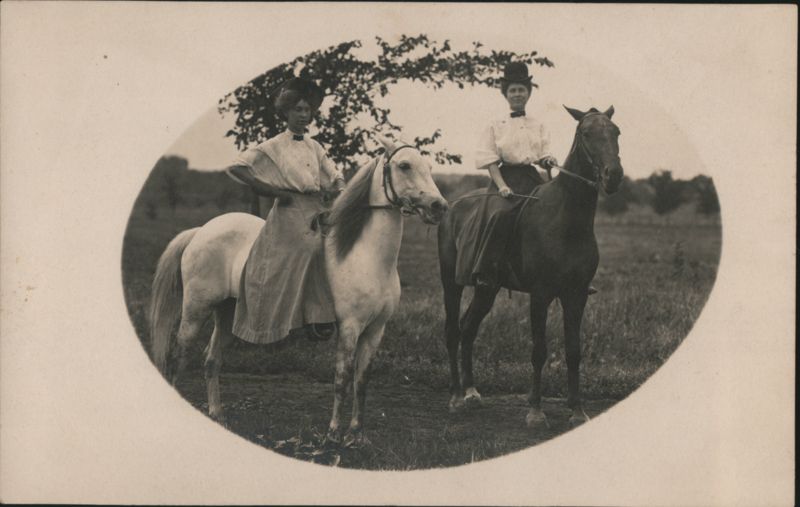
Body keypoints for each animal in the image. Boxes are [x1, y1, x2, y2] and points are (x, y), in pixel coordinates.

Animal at [148, 136, 448, 444]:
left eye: (428, 167)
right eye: (404, 165)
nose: (439, 206)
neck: (367, 256)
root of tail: (201, 230)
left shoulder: (376, 329)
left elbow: (362, 381)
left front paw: (356, 434)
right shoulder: (350, 327)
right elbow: (342, 378)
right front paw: (333, 434)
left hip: (229, 312)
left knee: (211, 360)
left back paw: (217, 414)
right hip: (196, 309)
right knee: (180, 355)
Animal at [437, 106, 623, 429]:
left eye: (616, 131)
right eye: (587, 133)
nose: (613, 175)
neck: (567, 220)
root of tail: (452, 207)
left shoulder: (576, 296)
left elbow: (573, 351)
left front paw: (577, 409)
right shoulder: (540, 294)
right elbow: (539, 351)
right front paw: (535, 410)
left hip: (487, 289)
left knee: (468, 327)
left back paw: (472, 391)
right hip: (452, 284)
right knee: (452, 331)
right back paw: (456, 396)